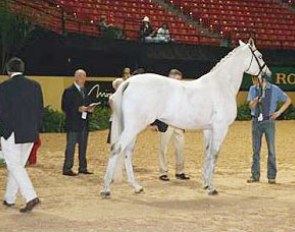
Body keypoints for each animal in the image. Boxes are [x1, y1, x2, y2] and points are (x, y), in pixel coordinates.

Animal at [102, 38, 272, 198]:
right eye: (260, 56)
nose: (268, 74)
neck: (221, 85)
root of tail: (128, 82)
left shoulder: (208, 129)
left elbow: (207, 154)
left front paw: (206, 184)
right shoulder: (220, 127)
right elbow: (214, 155)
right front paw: (212, 188)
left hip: (132, 127)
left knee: (127, 151)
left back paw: (136, 187)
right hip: (133, 126)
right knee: (117, 148)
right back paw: (106, 190)